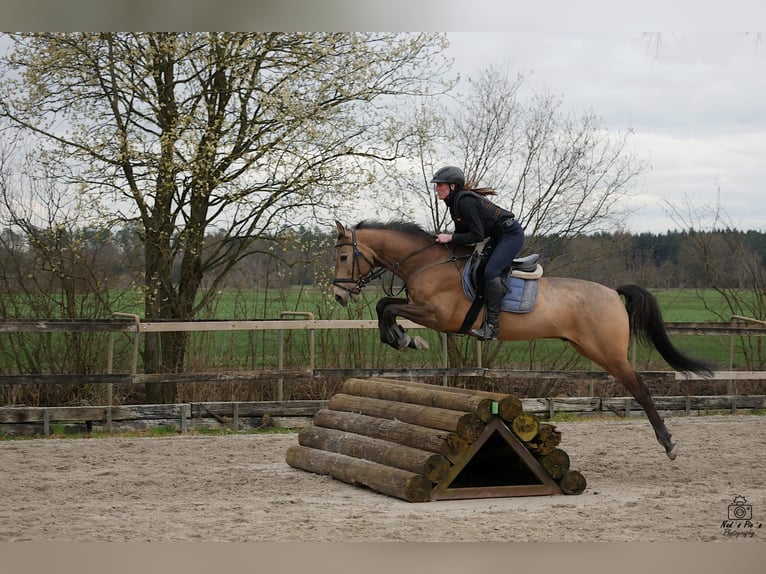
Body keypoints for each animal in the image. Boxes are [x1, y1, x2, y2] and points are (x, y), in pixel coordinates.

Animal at [332, 218, 716, 462]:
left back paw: (668, 444)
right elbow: (385, 306)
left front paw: (406, 340)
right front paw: (403, 339)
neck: (429, 263)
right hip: (590, 349)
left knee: (640, 389)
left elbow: (386, 306)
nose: (339, 295)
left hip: (609, 354)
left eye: (344, 257)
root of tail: (611, 291)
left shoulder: (438, 316)